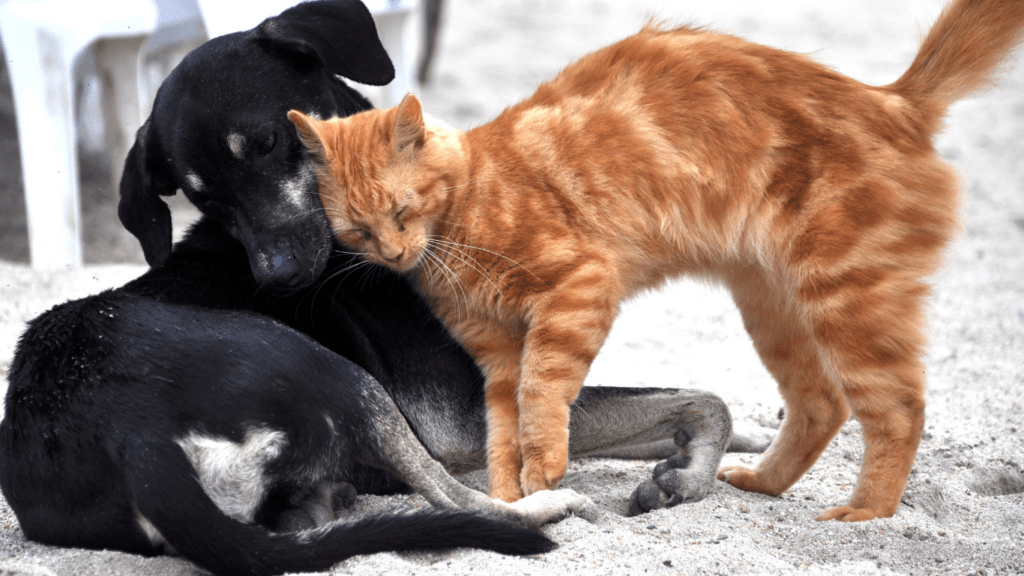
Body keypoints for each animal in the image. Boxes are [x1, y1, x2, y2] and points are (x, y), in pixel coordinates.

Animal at [2, 2, 761, 569]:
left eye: (269, 143)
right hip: (339, 374)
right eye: (201, 198)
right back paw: (548, 509)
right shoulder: (462, 413)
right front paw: (693, 471)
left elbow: (687, 401)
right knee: (461, 499)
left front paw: (736, 443)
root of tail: (128, 438)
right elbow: (701, 398)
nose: (278, 277)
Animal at [290, 0, 1024, 520]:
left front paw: (543, 472)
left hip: (847, 299)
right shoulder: (494, 360)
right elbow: (505, 432)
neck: (465, 214)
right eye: (358, 230)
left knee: (898, 409)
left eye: (403, 210)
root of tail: (893, 98)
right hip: (775, 307)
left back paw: (866, 513)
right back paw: (760, 482)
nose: (392, 252)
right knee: (821, 404)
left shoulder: (578, 290)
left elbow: (542, 398)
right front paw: (518, 496)